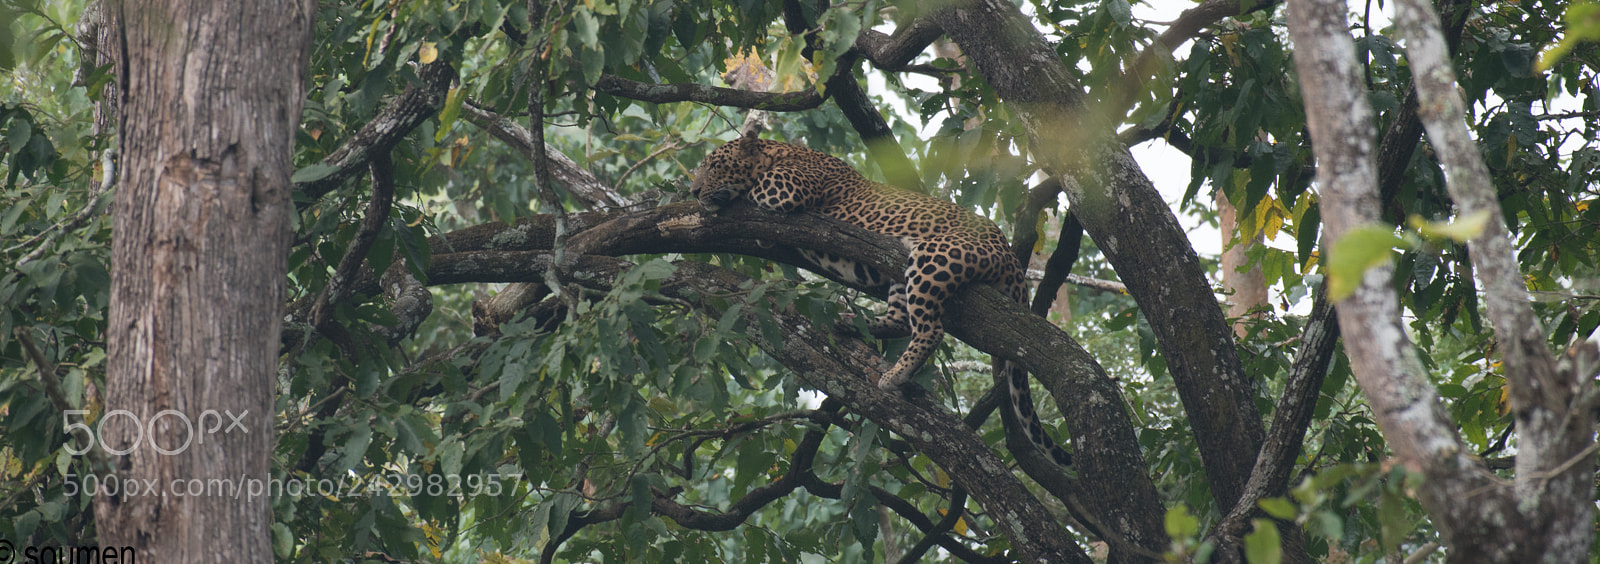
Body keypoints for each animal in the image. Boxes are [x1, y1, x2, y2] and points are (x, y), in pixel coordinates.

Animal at [690, 133, 1072, 466]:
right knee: (901, 318)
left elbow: (756, 188)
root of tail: (1009, 254)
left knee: (930, 329)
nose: (693, 191)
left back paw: (895, 374)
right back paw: (852, 325)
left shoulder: (784, 187)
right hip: (900, 277)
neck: (781, 152)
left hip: (933, 257)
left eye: (713, 166)